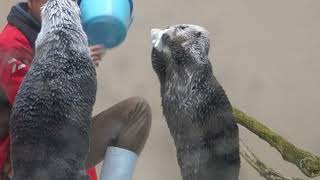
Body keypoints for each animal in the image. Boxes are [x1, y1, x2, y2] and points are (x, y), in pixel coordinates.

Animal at [151, 24, 239, 180]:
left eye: (182, 27)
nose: (168, 27)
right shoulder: (165, 70)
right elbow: (157, 65)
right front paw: (156, 45)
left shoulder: (195, 58)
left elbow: (184, 54)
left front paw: (168, 38)